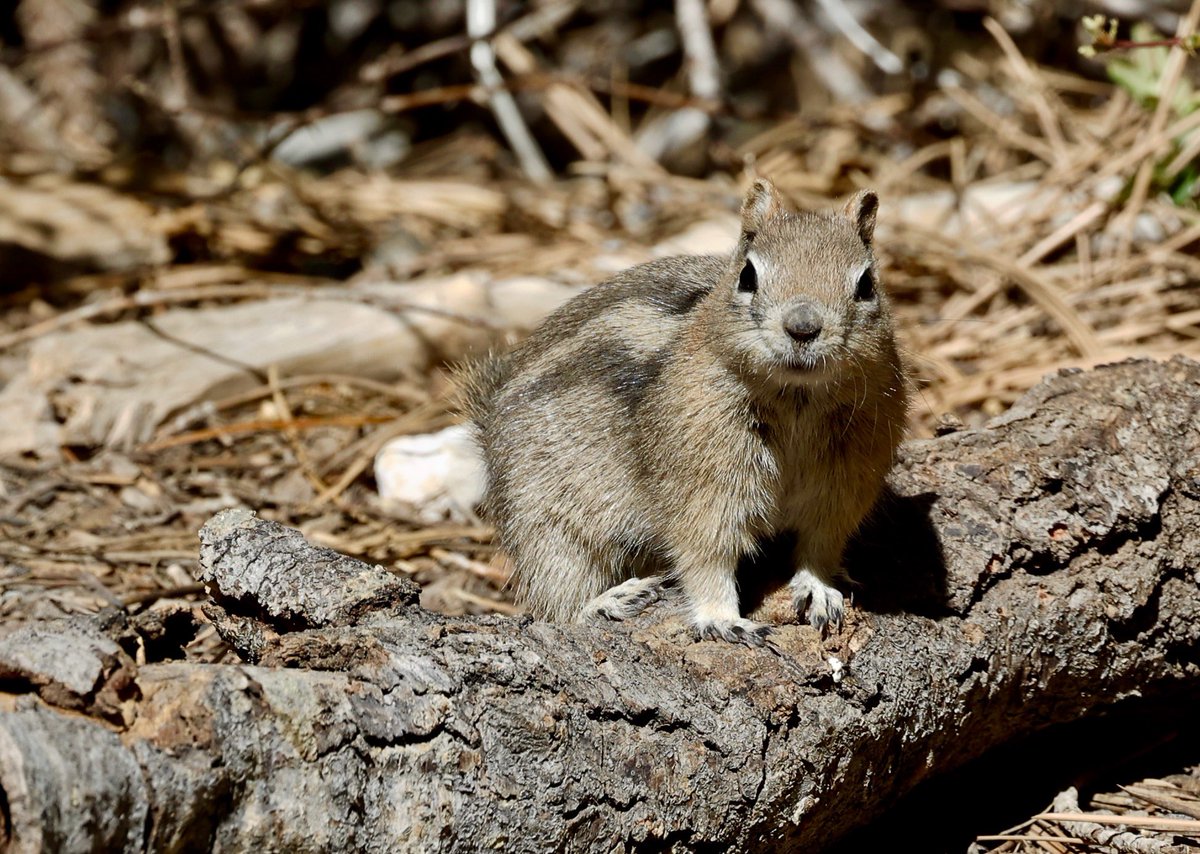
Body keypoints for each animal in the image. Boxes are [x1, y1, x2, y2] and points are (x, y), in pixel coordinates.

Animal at [459, 179, 908, 645]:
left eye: (867, 284)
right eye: (747, 276)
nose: (803, 327)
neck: (797, 398)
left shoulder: (843, 487)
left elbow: (820, 545)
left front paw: (818, 589)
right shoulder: (704, 485)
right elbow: (706, 553)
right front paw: (723, 618)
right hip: (547, 529)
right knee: (556, 600)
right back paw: (609, 601)